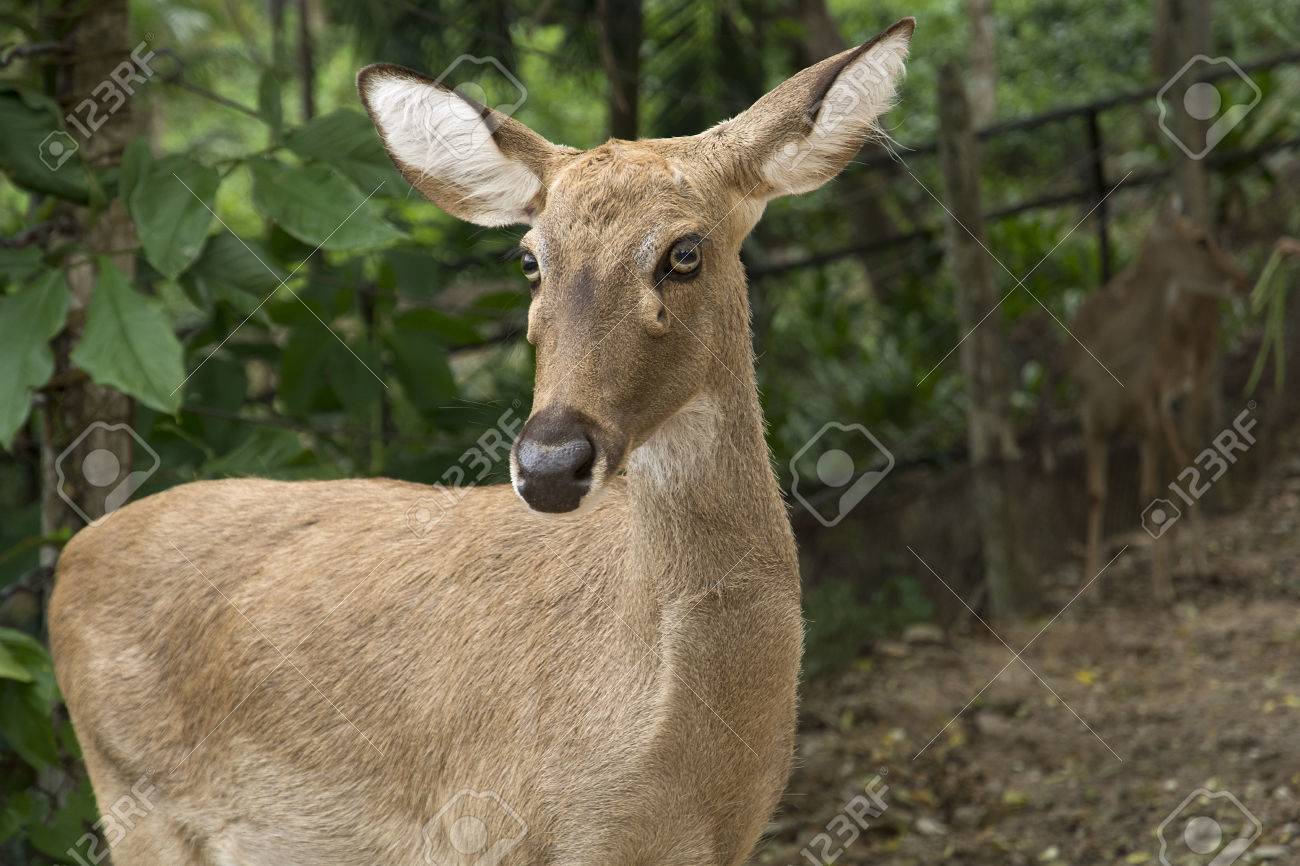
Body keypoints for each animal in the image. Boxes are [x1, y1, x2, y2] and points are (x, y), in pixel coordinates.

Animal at [47, 19, 915, 866]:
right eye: (529, 259)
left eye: (685, 251)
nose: (551, 464)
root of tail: (70, 560)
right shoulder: (483, 828)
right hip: (134, 802)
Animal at [1071, 207, 1246, 600]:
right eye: (1201, 239)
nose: (1241, 276)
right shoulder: (1091, 416)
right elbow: (1094, 494)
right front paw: (1090, 589)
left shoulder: (1149, 411)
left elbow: (1147, 492)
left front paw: (1161, 586)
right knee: (1178, 458)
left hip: (1201, 372)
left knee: (1191, 452)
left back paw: (1198, 563)